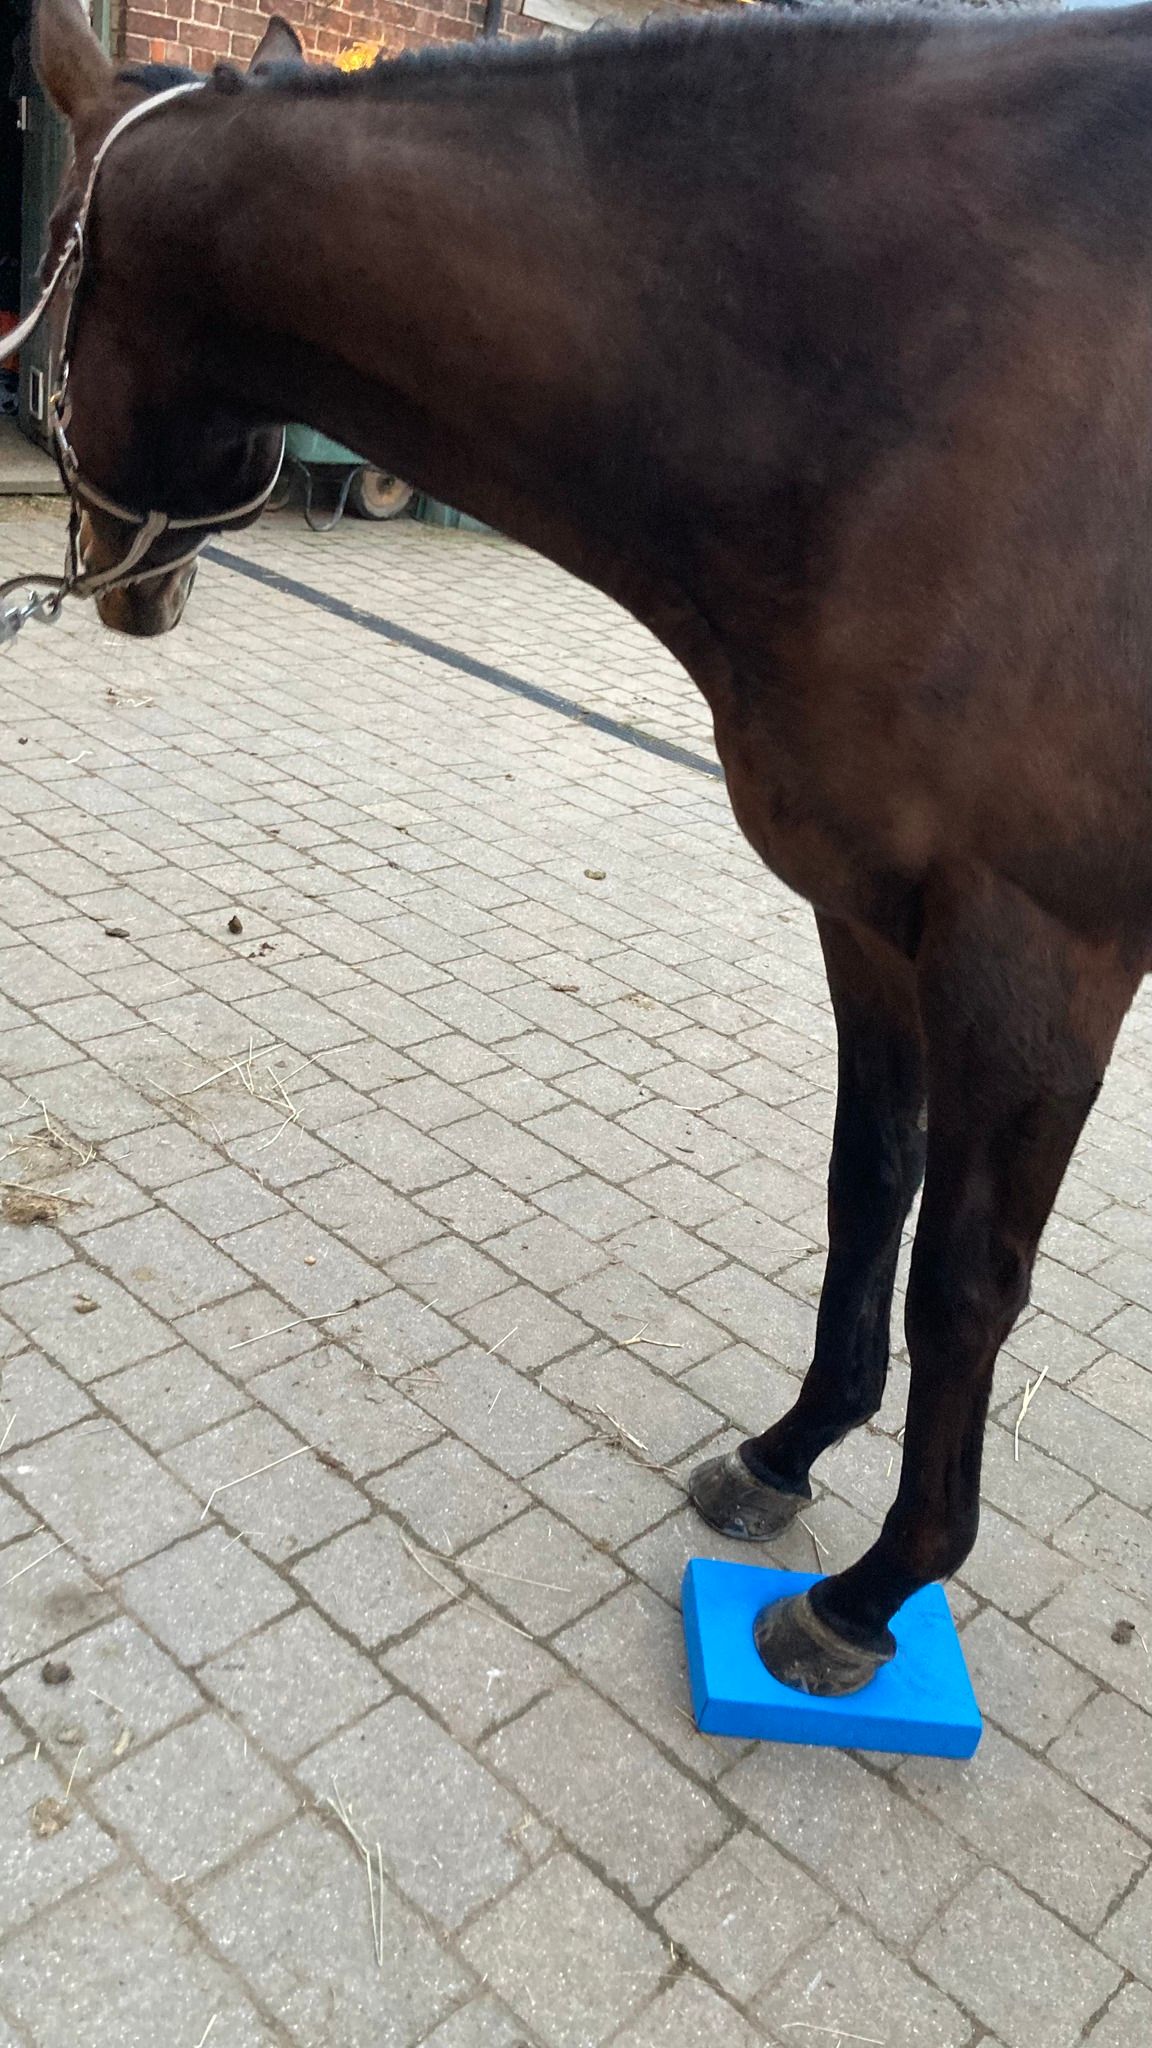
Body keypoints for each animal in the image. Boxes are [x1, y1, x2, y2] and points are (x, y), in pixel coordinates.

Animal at [27, 0, 1152, 1697]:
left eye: (45, 251)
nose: (113, 573)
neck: (944, 368)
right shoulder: (875, 912)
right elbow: (867, 1180)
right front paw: (790, 1450)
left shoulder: (1037, 957)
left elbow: (967, 1286)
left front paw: (873, 1593)